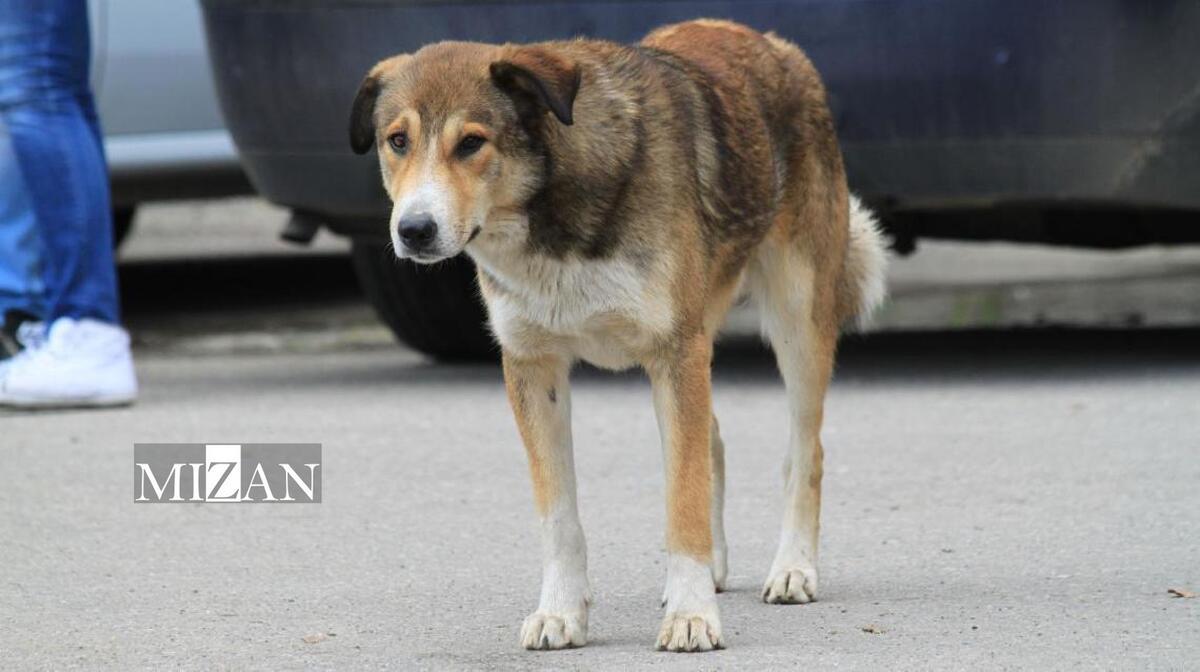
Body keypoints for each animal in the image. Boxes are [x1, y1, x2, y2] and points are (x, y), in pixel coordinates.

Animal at [350, 19, 892, 652]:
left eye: (471, 143)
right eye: (397, 141)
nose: (414, 230)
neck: (554, 205)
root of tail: (774, 43)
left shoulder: (674, 354)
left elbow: (682, 500)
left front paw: (691, 615)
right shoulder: (533, 366)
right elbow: (559, 515)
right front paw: (561, 612)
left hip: (796, 318)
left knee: (805, 452)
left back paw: (793, 567)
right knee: (713, 440)